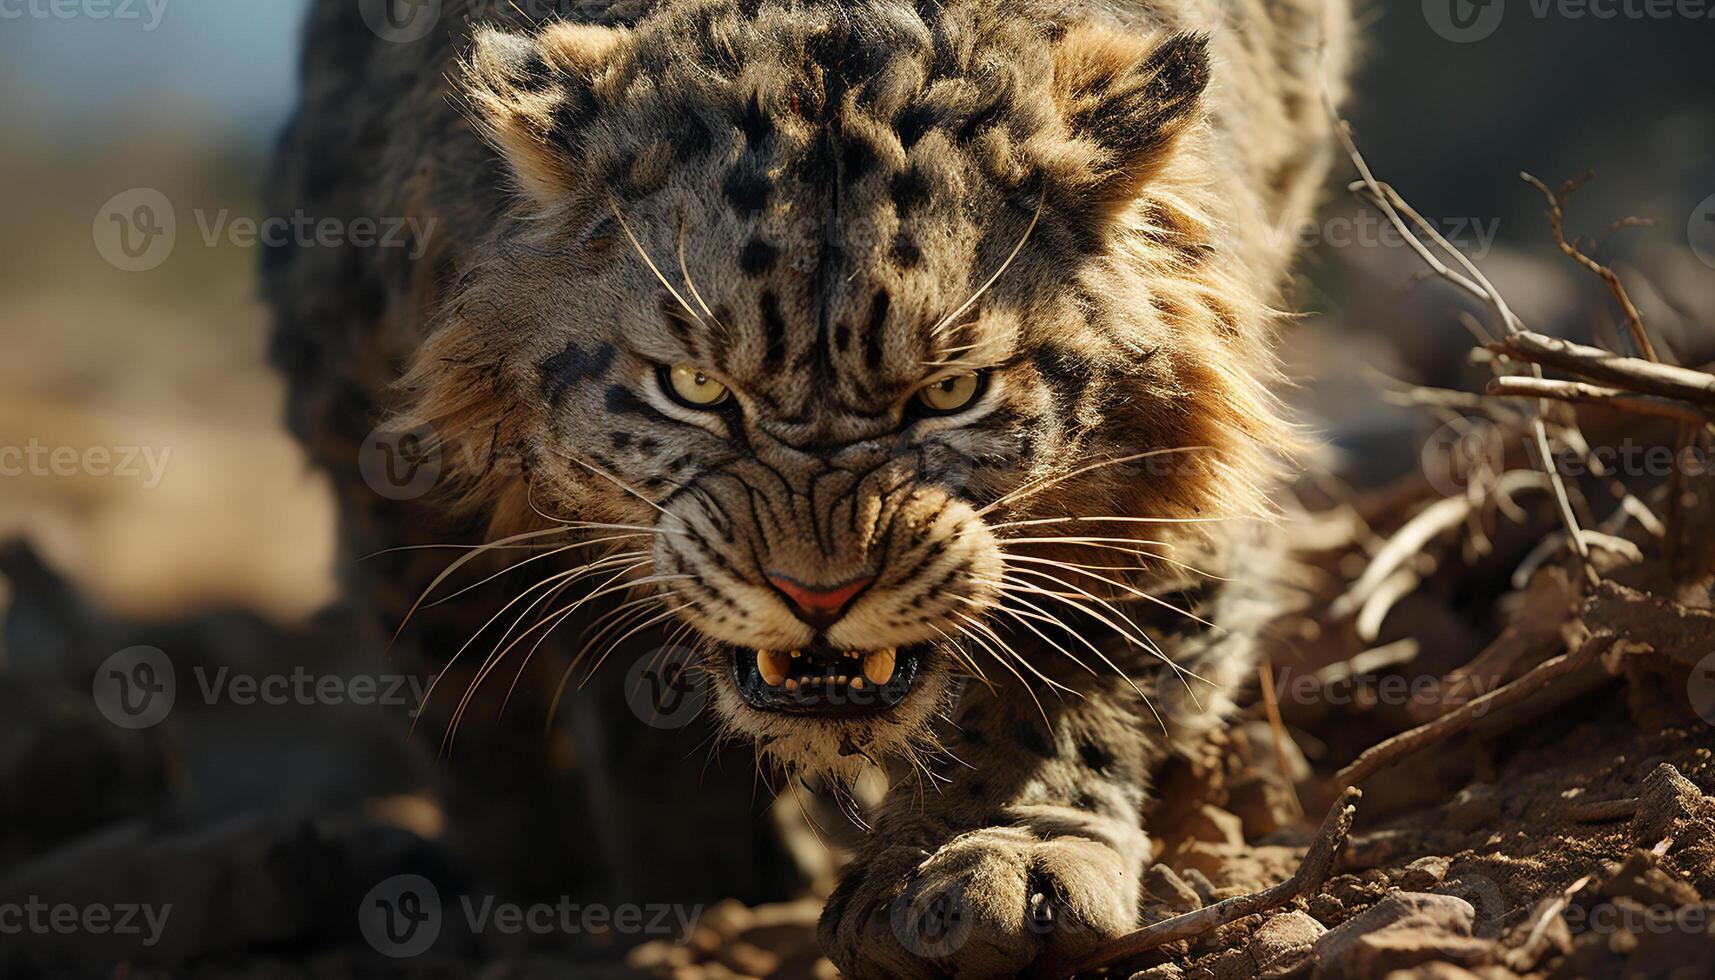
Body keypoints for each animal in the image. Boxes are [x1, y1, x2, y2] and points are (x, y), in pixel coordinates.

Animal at [260, 0, 1351, 974]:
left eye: (950, 392)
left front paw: (994, 867)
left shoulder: (1180, 476)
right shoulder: (382, 451)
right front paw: (604, 891)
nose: (817, 595)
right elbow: (482, 703)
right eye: (695, 389)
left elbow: (1067, 686)